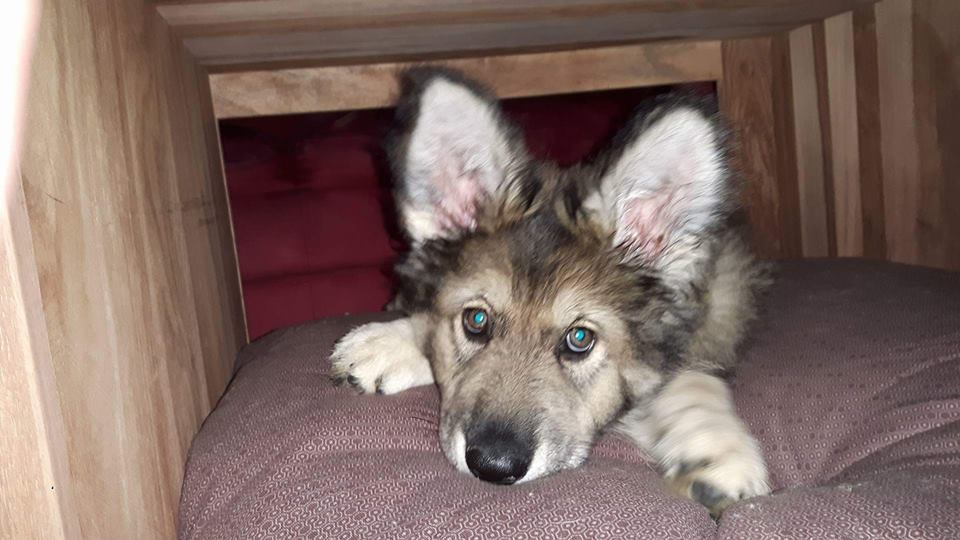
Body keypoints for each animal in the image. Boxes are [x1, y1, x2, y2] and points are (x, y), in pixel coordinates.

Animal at [331, 67, 769, 517]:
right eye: (476, 320)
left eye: (579, 339)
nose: (493, 466)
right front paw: (390, 342)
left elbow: (694, 382)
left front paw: (717, 449)